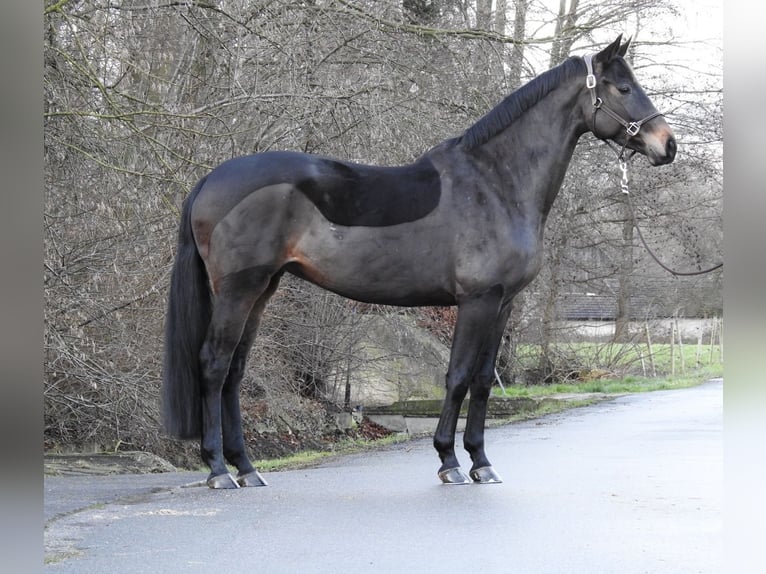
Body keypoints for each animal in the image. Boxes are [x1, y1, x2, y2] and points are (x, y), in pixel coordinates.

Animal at [164, 36, 680, 488]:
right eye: (622, 87)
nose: (668, 145)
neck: (496, 184)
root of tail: (211, 179)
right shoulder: (476, 301)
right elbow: (457, 377)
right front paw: (449, 461)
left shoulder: (503, 305)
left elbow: (482, 382)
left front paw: (481, 462)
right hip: (239, 289)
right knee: (214, 364)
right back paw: (218, 471)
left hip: (262, 290)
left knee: (235, 371)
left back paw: (246, 468)